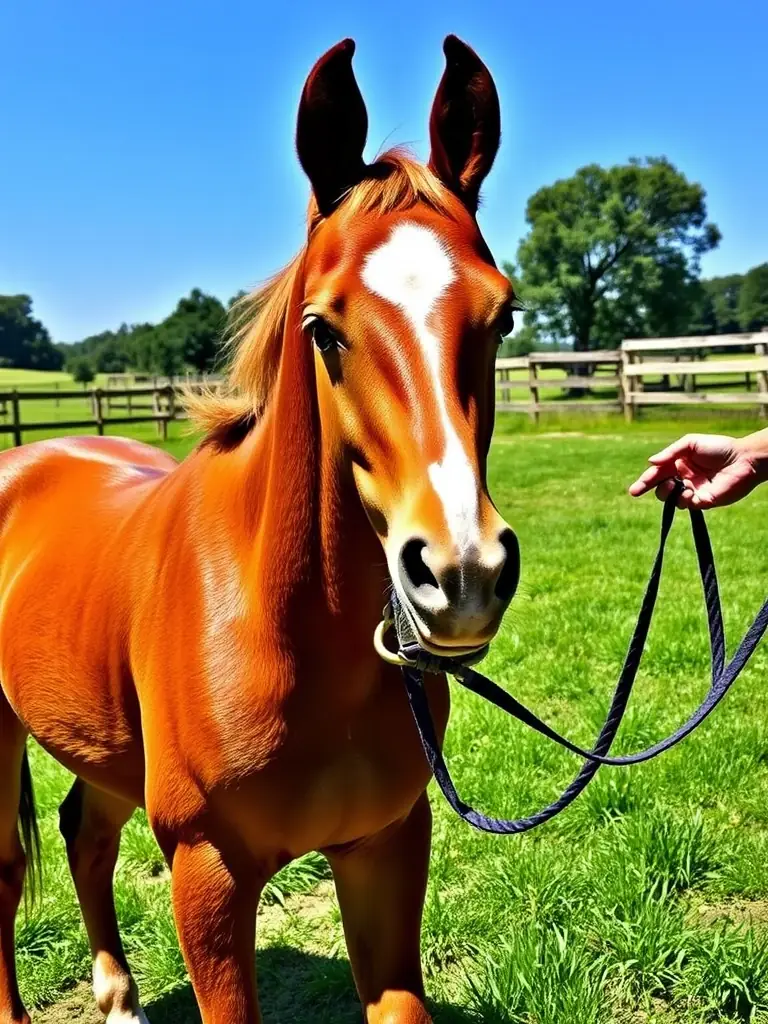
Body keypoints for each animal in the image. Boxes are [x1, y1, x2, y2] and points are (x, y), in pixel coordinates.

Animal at [0, 36, 520, 1024]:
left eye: (503, 315)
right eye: (323, 327)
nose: (462, 573)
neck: (281, 628)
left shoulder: (386, 850)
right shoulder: (206, 873)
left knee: (84, 831)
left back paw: (117, 994)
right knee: (6, 870)